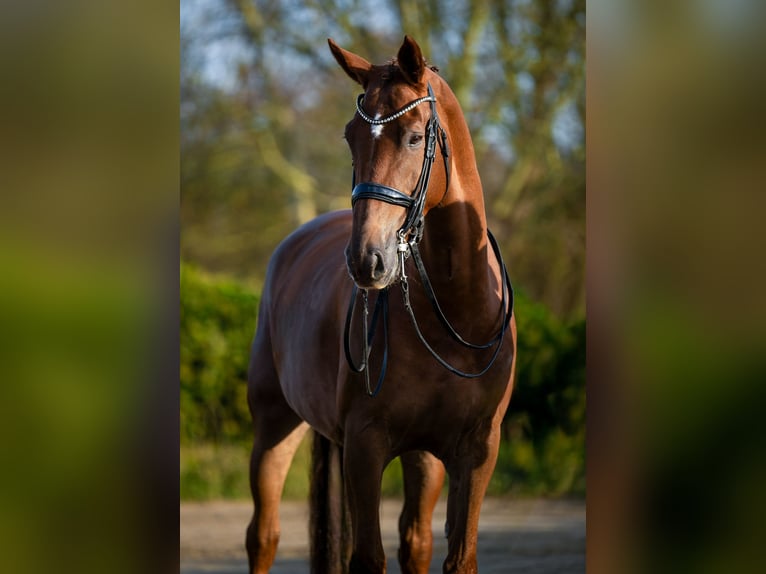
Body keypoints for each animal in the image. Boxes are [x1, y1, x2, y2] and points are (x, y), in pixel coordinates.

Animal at [249, 37, 520, 574]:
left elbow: (457, 555)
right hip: (273, 427)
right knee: (263, 536)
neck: (456, 316)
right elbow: (366, 558)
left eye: (415, 138)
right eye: (351, 136)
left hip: (422, 458)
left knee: (415, 541)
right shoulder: (365, 445)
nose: (365, 259)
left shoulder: (477, 450)